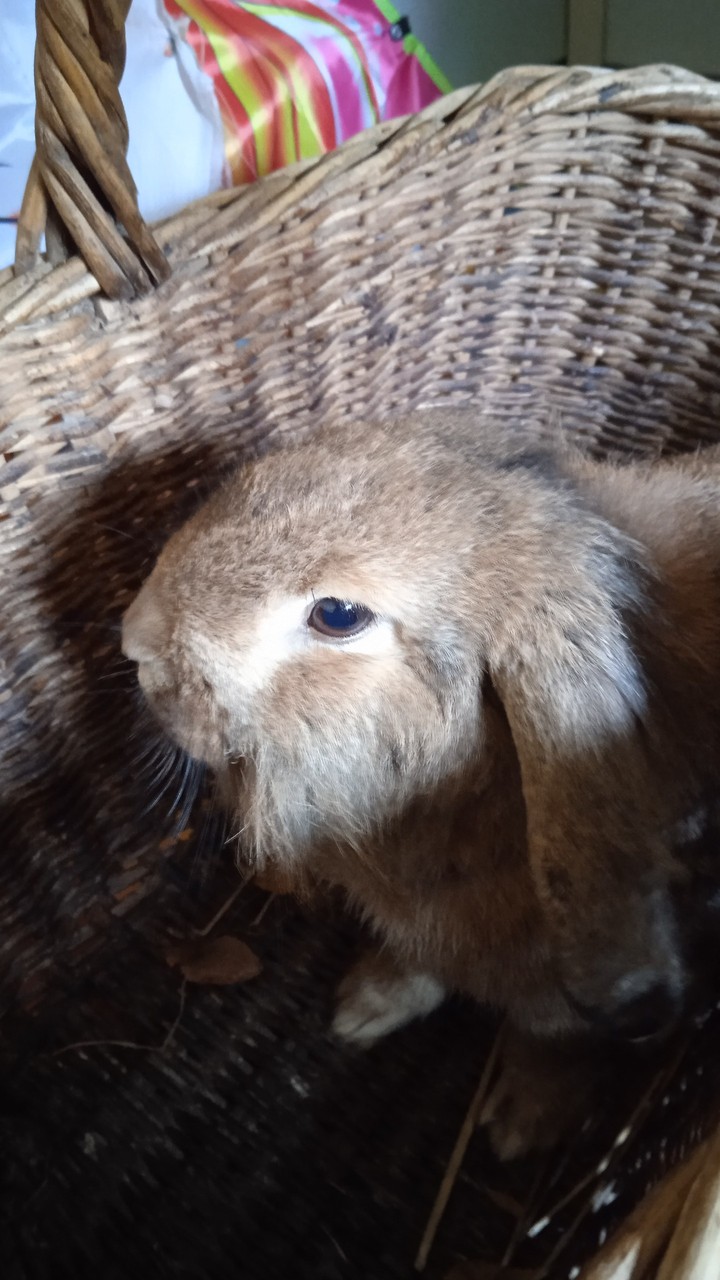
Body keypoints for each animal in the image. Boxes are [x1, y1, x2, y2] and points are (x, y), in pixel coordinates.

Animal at [121, 410, 720, 1158]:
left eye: (338, 615)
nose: (134, 641)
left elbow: (558, 1034)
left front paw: (522, 1119)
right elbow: (419, 967)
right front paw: (361, 1008)